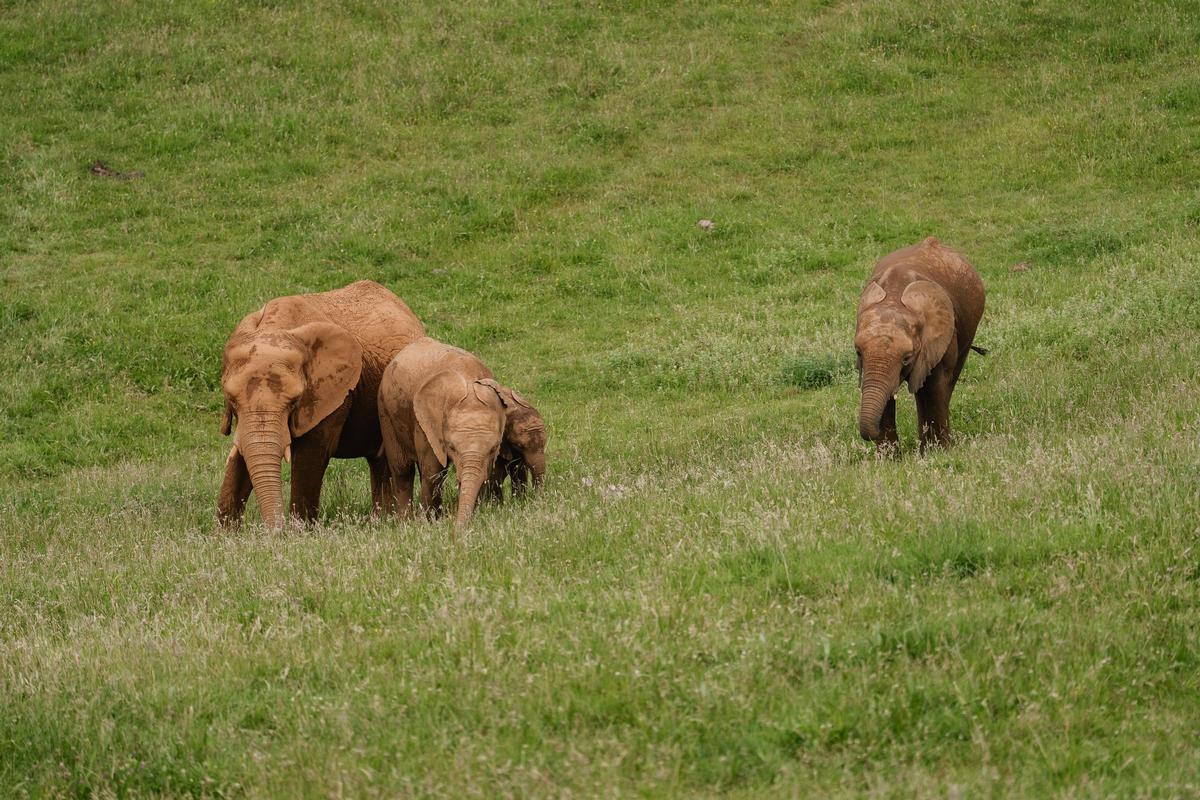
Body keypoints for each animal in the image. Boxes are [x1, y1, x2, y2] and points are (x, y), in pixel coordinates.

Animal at [216, 280, 426, 529]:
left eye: (294, 401)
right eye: (231, 400)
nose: (276, 530)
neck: (274, 328)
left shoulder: (333, 395)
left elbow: (310, 456)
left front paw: (299, 531)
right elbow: (240, 459)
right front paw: (226, 534)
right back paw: (381, 522)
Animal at [377, 337, 514, 532]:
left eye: (494, 448)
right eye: (452, 448)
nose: (456, 529)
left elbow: (484, 473)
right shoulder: (426, 421)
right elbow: (433, 472)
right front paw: (428, 524)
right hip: (386, 411)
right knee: (402, 470)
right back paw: (405, 523)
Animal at [855, 237, 985, 455]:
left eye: (907, 358)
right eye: (858, 352)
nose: (870, 434)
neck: (893, 297)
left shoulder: (941, 339)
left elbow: (934, 387)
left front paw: (938, 454)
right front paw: (889, 458)